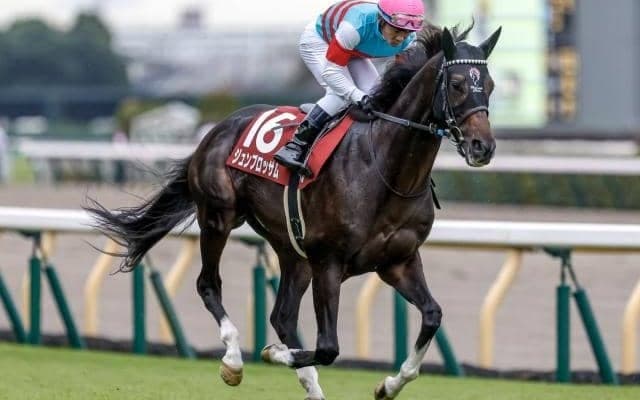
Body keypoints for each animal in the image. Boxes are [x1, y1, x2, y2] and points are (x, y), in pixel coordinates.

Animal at [86, 23, 501, 400]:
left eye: (491, 85)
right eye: (457, 83)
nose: (483, 146)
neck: (385, 168)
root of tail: (216, 130)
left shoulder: (398, 260)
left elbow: (432, 316)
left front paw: (388, 385)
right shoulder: (329, 261)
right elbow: (329, 347)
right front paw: (271, 353)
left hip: (292, 249)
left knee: (282, 315)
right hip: (219, 217)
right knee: (209, 284)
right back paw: (234, 360)